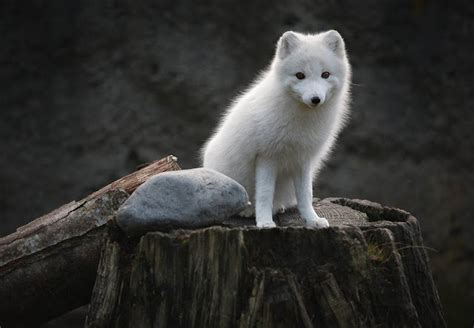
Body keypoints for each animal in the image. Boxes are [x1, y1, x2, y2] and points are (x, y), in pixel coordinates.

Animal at [202, 30, 350, 228]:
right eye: (300, 75)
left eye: (325, 74)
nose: (315, 99)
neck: (301, 120)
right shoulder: (267, 156)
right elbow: (265, 193)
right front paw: (264, 222)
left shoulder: (302, 159)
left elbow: (306, 195)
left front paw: (313, 220)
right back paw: (249, 211)